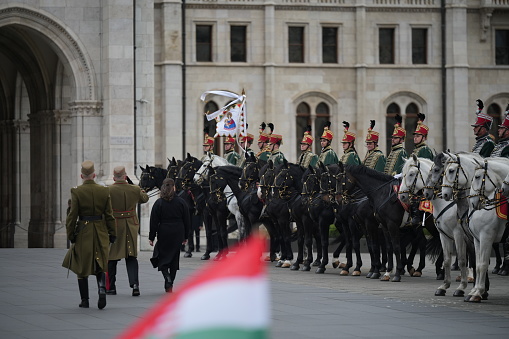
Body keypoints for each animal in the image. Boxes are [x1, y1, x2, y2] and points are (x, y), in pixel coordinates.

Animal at [466, 158, 508, 304]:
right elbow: (478, 265)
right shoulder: (477, 239)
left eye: (478, 177)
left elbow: (483, 264)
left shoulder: (486, 238)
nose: (472, 202)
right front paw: (474, 291)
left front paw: (478, 292)